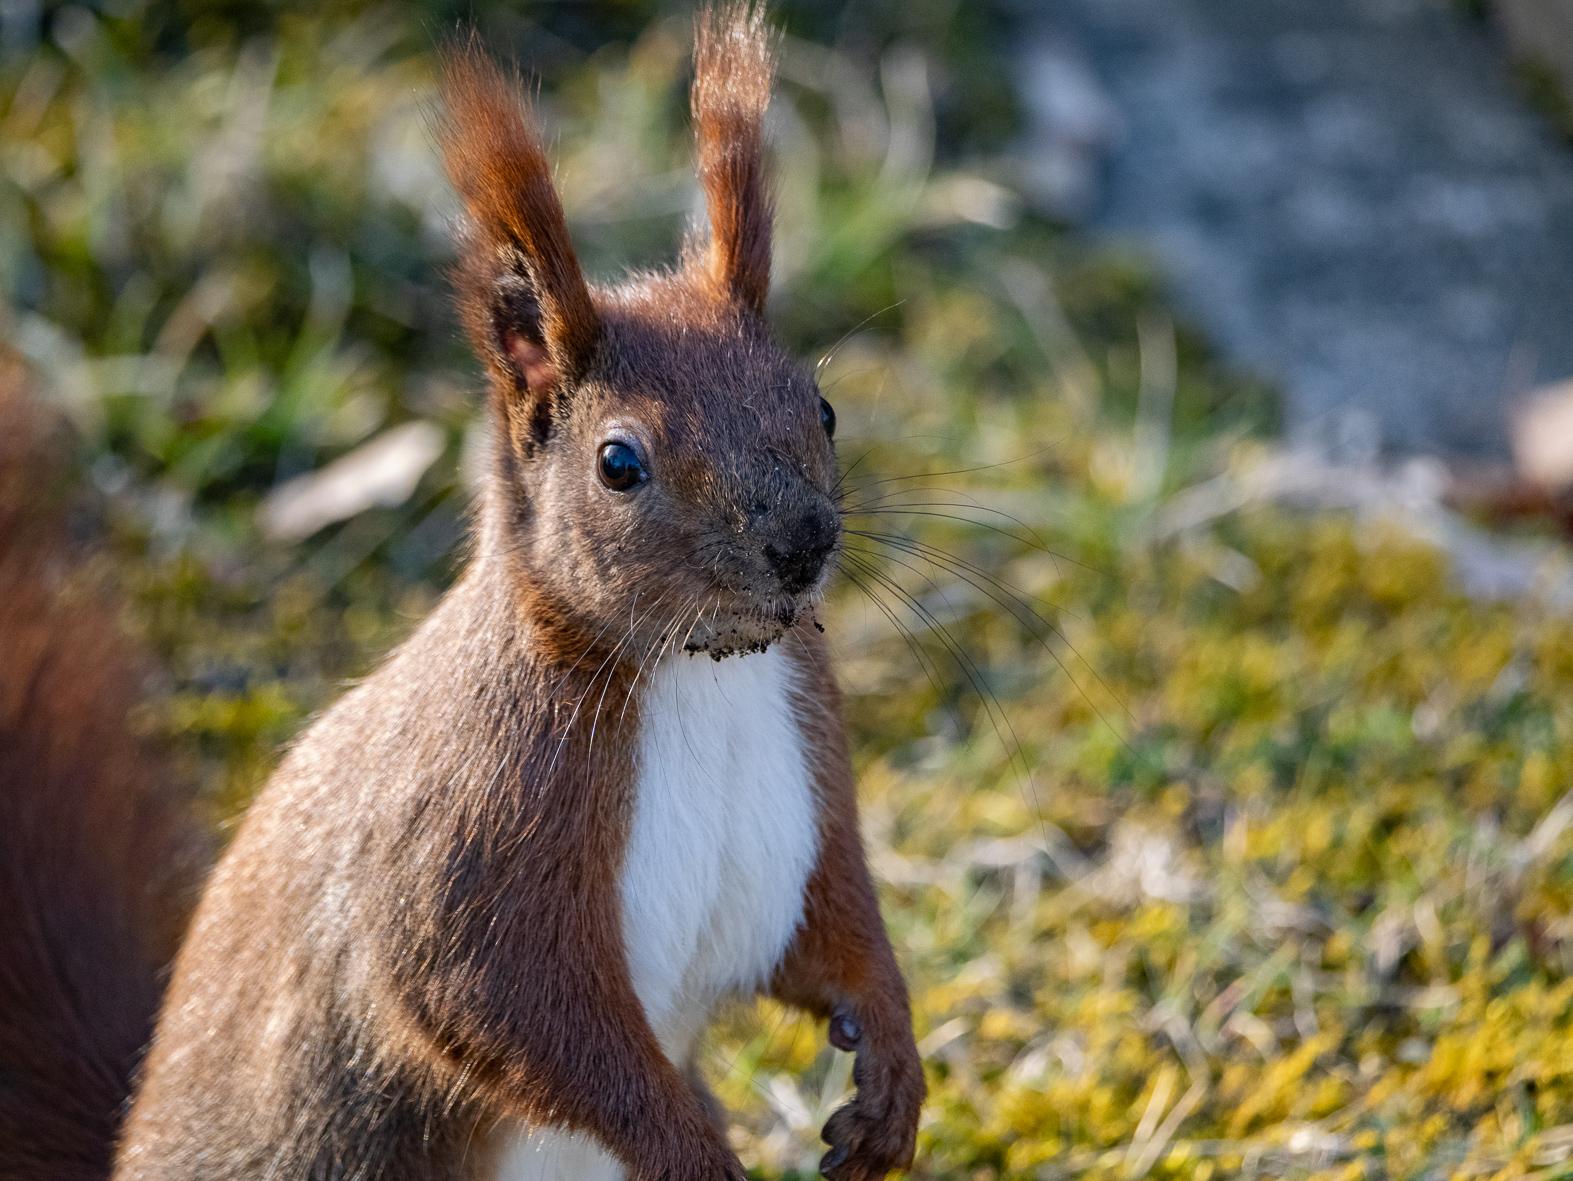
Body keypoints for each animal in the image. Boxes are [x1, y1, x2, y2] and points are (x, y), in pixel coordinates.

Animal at [0, 6, 924, 1180]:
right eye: (618, 462)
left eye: (823, 406)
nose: (802, 545)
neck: (697, 676)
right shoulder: (475, 827)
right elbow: (503, 1005)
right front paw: (693, 1152)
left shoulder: (809, 786)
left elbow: (836, 929)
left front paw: (892, 1074)